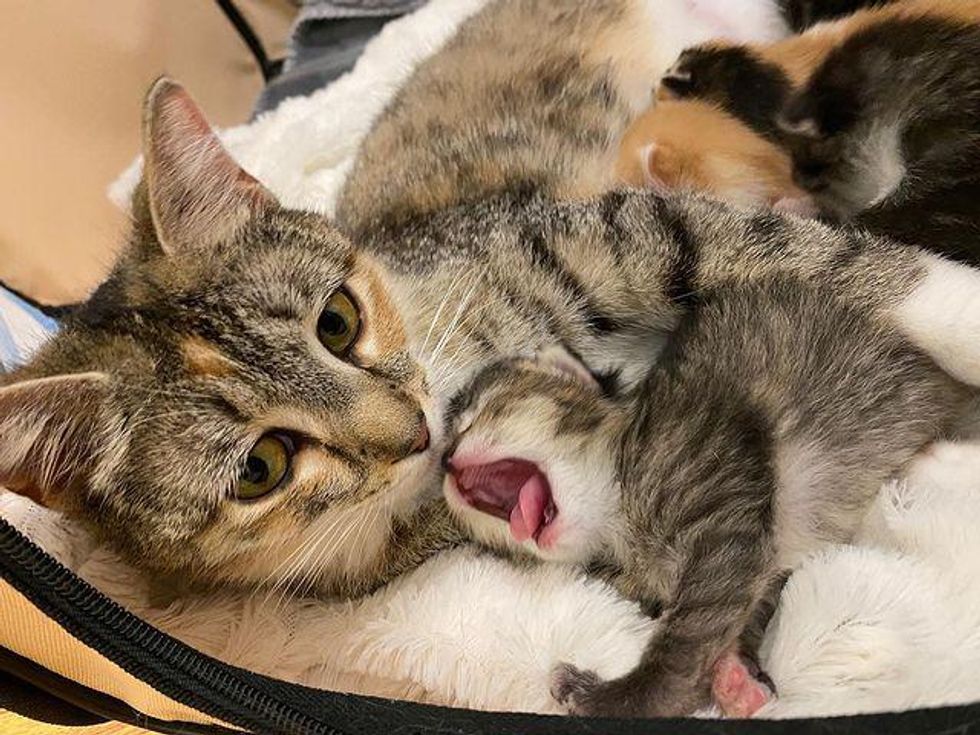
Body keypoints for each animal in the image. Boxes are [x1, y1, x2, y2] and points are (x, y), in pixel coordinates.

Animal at [5, 0, 980, 640]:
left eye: (337, 321)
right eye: (261, 467)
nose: (413, 432)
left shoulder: (586, 227)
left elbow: (776, 246)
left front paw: (956, 305)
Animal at [448, 280, 968, 720]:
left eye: (478, 414)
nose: (447, 460)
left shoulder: (720, 511)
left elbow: (685, 639)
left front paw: (611, 700)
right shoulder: (757, 556)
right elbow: (745, 606)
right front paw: (737, 675)